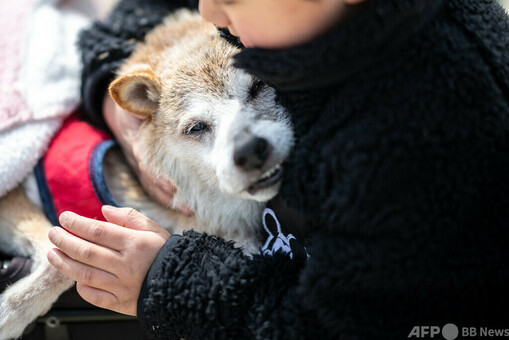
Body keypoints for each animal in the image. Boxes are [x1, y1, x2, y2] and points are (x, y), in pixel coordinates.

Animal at [0, 9, 294, 338]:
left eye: (258, 87)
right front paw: (11, 311)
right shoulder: (15, 195)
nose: (250, 150)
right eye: (196, 128)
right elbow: (56, 250)